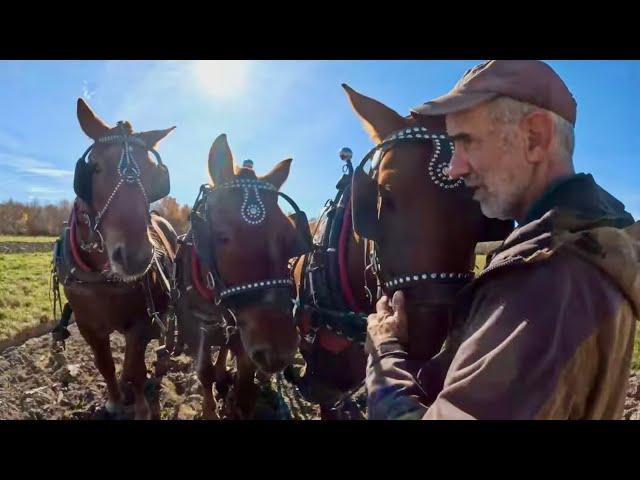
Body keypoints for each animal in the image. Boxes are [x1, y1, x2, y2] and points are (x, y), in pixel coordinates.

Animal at [54, 98, 178, 420]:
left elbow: (134, 367)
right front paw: (113, 400)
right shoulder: (88, 326)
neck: (101, 277)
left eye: (155, 176)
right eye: (94, 168)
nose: (135, 257)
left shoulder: (140, 322)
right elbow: (105, 365)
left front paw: (141, 406)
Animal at [172, 133, 312, 418]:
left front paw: (239, 395)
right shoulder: (199, 324)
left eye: (291, 235)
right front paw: (210, 408)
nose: (278, 352)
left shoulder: (243, 329)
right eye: (221, 236)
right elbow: (203, 372)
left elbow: (246, 381)